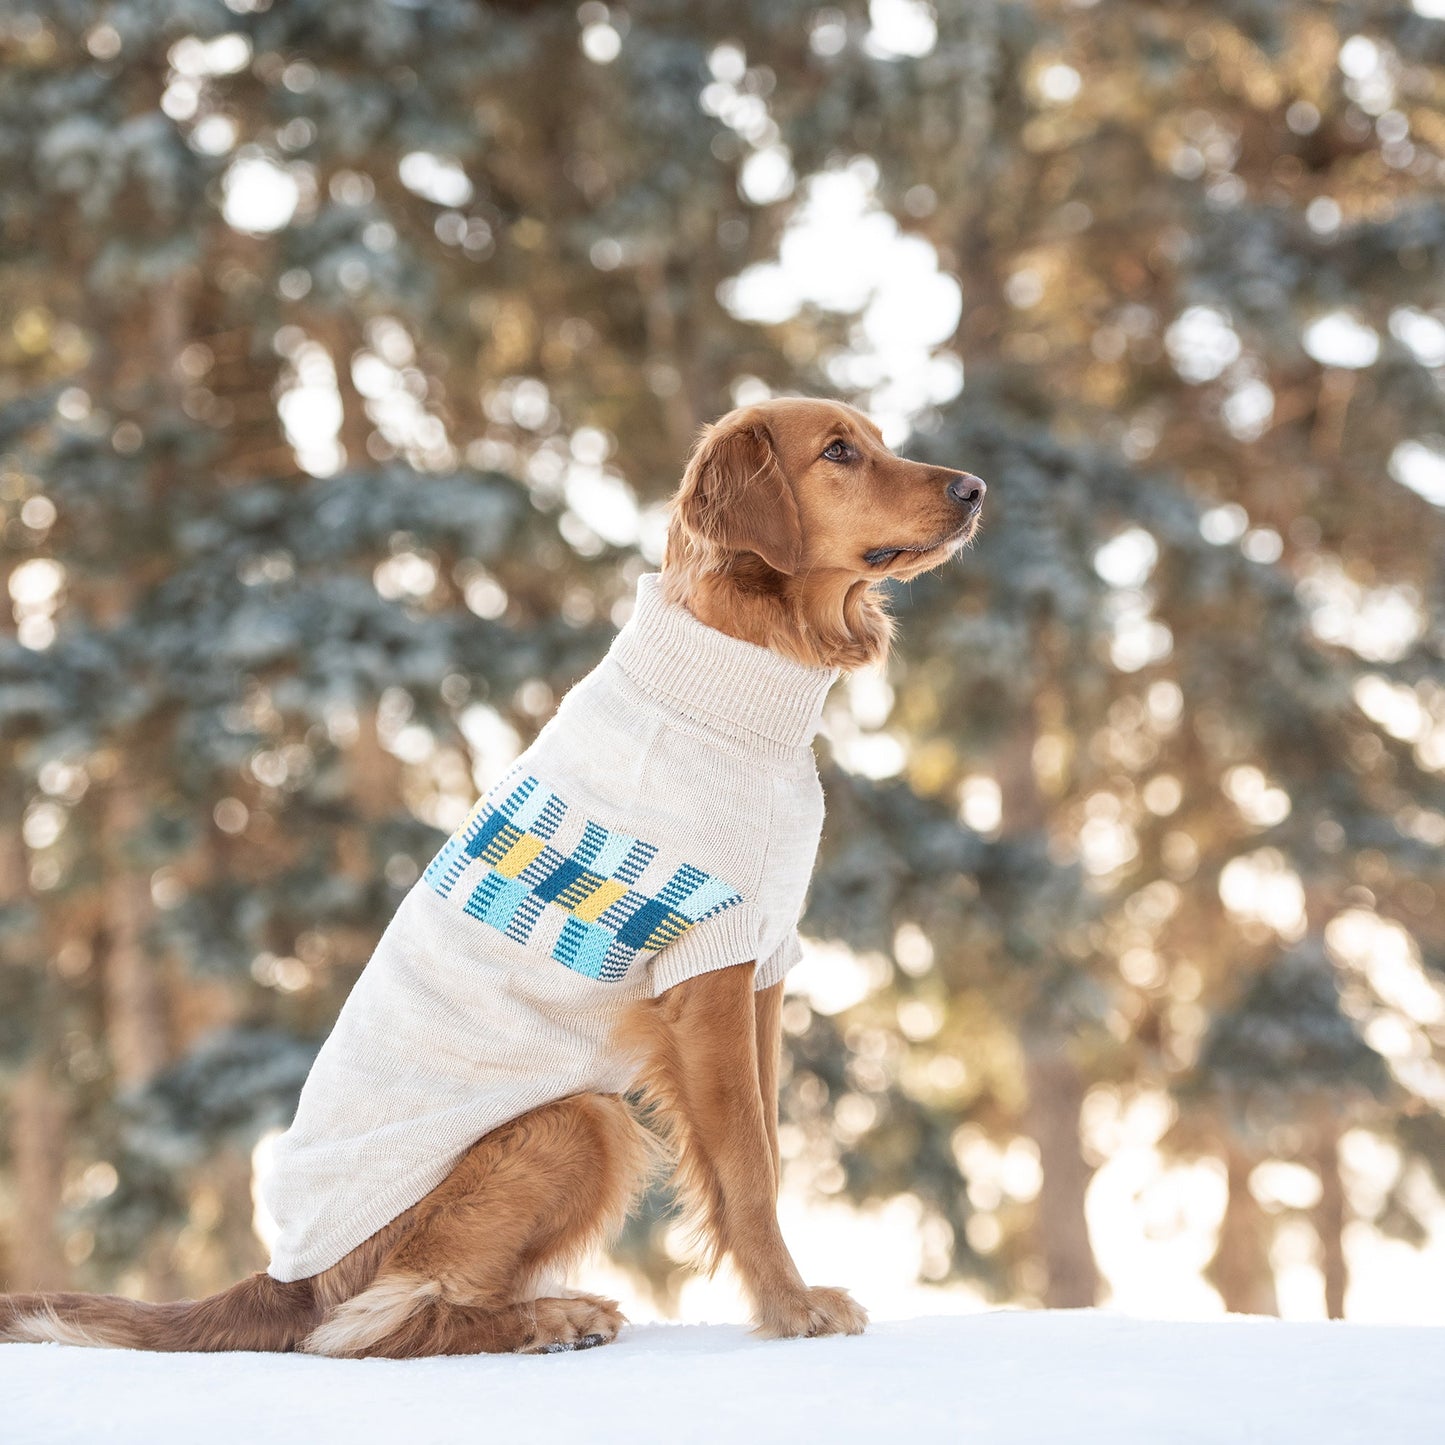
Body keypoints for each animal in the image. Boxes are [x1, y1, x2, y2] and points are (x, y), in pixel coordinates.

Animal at [0, 393, 982, 1352]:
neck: (739, 676)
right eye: (838, 451)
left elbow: (767, 1147)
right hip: (580, 1119)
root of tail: (287, 1279)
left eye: (877, 440)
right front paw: (790, 1307)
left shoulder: (763, 963)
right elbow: (746, 1165)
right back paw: (548, 1319)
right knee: (368, 1325)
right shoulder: (708, 967)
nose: (973, 487)